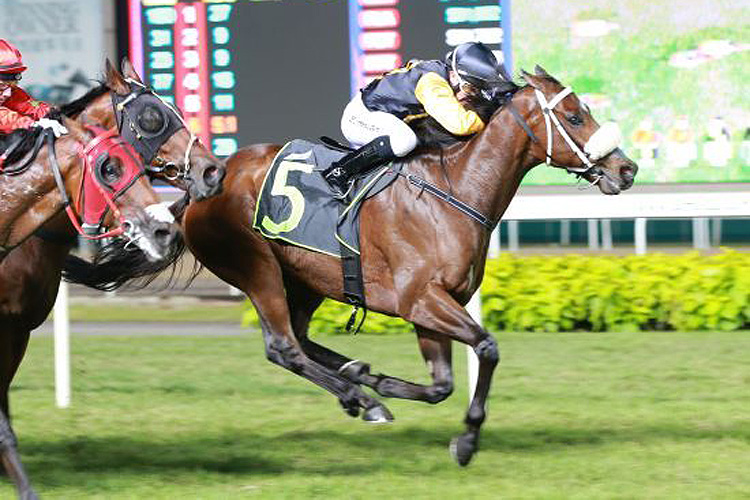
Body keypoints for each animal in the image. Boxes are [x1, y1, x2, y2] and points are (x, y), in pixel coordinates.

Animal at [67, 67, 640, 468]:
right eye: (574, 117)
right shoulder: (421, 300)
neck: (454, 190)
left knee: (301, 341)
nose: (627, 169)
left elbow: (441, 385)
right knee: (283, 347)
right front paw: (465, 440)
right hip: (258, 269)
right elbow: (487, 349)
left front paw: (386, 385)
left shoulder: (432, 308)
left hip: (306, 280)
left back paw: (359, 381)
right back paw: (356, 392)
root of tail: (206, 179)